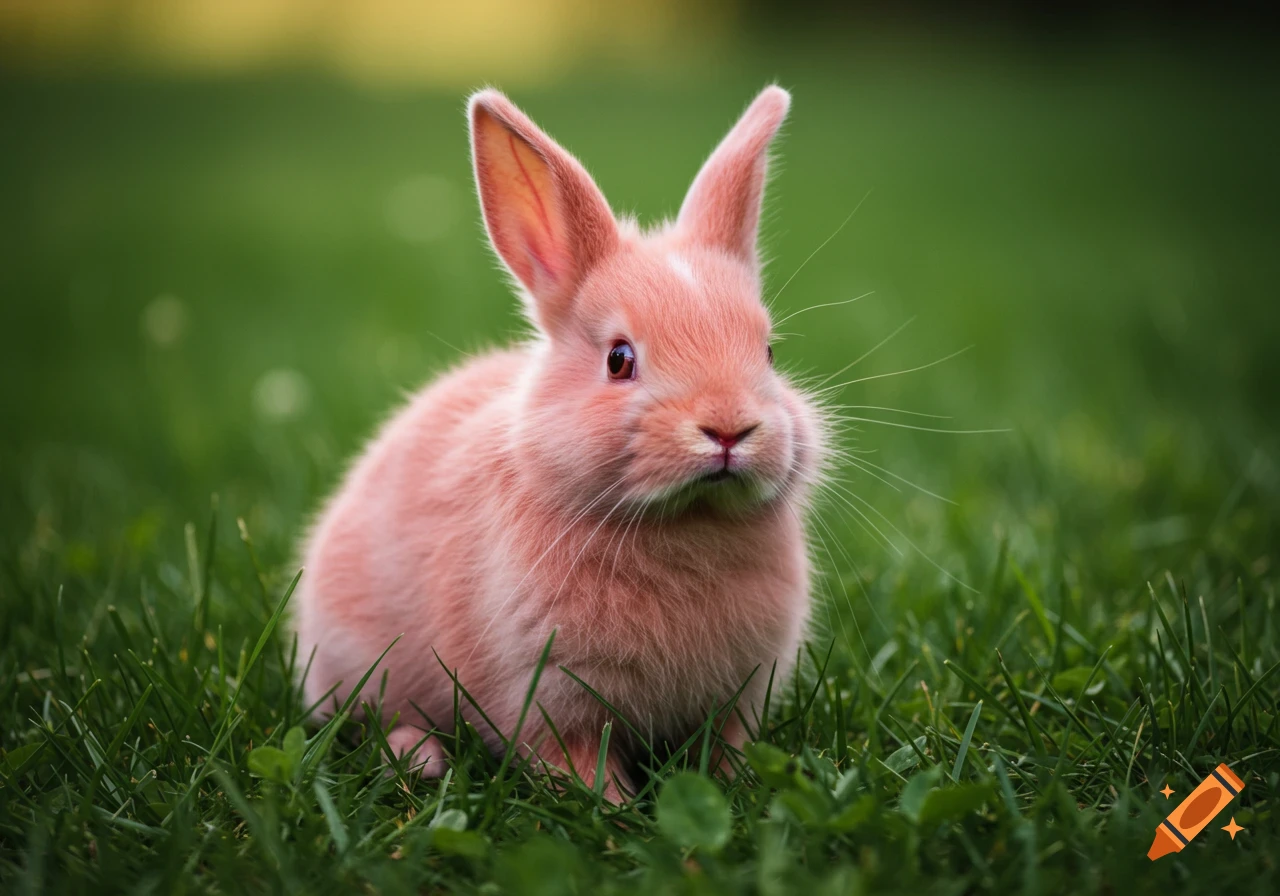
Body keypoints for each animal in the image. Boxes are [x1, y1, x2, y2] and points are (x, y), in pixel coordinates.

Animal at [292, 85, 827, 801]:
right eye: (620, 360)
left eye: (769, 353)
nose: (728, 428)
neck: (684, 522)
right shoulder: (546, 690)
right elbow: (572, 758)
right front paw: (612, 807)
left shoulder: (738, 696)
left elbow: (725, 749)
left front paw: (731, 785)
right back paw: (419, 758)